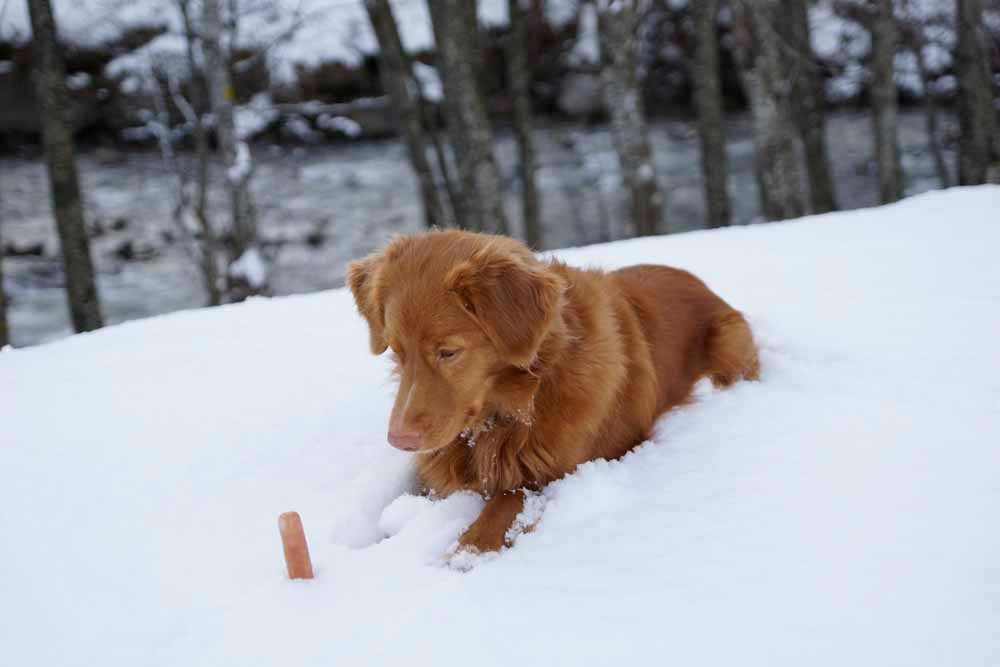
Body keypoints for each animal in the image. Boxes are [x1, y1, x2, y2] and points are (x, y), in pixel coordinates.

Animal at [346, 232, 756, 556]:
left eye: (448, 352)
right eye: (397, 351)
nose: (400, 440)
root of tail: (693, 277)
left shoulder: (560, 472)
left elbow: (506, 503)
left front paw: (468, 550)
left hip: (730, 343)